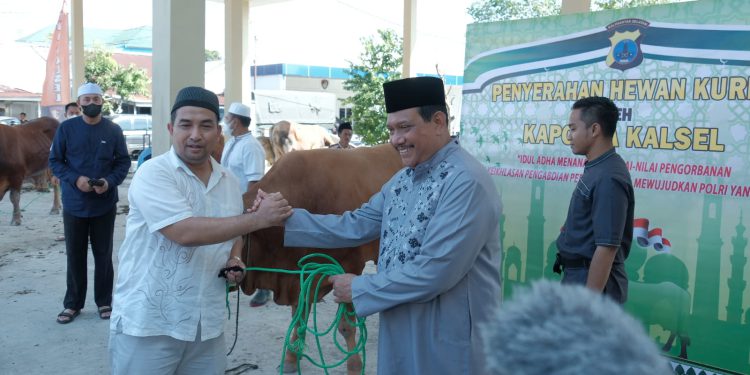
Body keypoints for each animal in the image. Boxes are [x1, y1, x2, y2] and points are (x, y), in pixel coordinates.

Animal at [242, 143, 406, 374]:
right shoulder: (302, 275)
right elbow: (299, 316)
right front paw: (291, 358)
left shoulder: (349, 267)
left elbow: (346, 325)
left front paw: (354, 365)